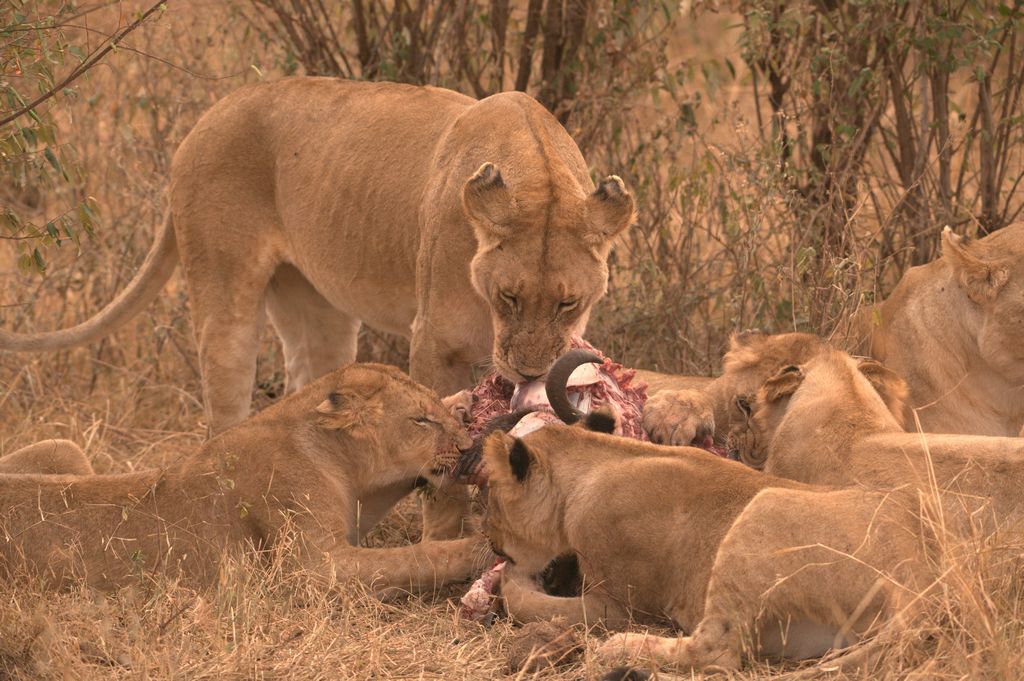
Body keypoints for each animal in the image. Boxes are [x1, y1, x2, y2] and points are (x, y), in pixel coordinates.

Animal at [0, 364, 489, 593]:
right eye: (420, 421)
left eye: (434, 411)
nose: (467, 446)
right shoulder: (311, 568)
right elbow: (419, 556)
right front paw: (483, 547)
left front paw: (463, 400)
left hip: (64, 446)